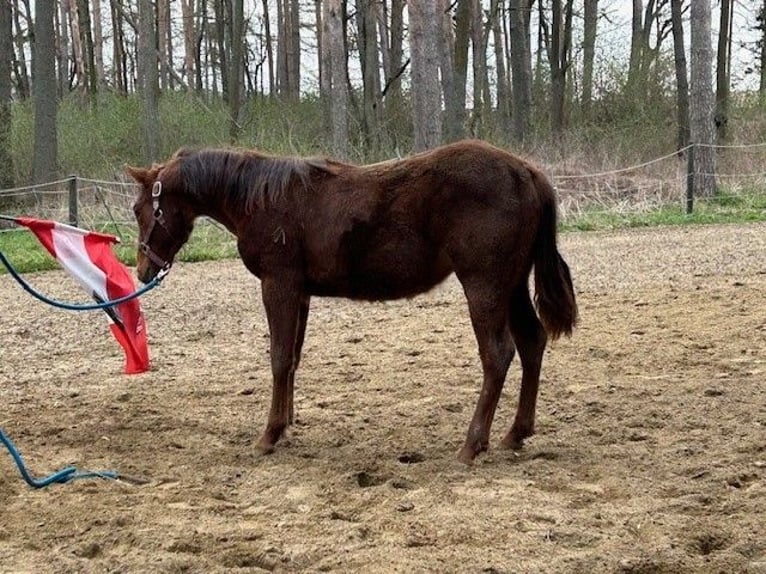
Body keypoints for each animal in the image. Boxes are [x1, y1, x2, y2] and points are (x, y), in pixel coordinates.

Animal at [126, 139, 578, 464]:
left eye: (139, 208)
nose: (143, 271)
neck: (263, 198)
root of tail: (528, 172)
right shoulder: (300, 293)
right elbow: (292, 357)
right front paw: (286, 424)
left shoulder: (278, 285)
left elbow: (278, 357)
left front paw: (268, 435)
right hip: (512, 286)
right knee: (532, 342)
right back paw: (515, 434)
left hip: (484, 286)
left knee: (498, 354)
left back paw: (472, 444)